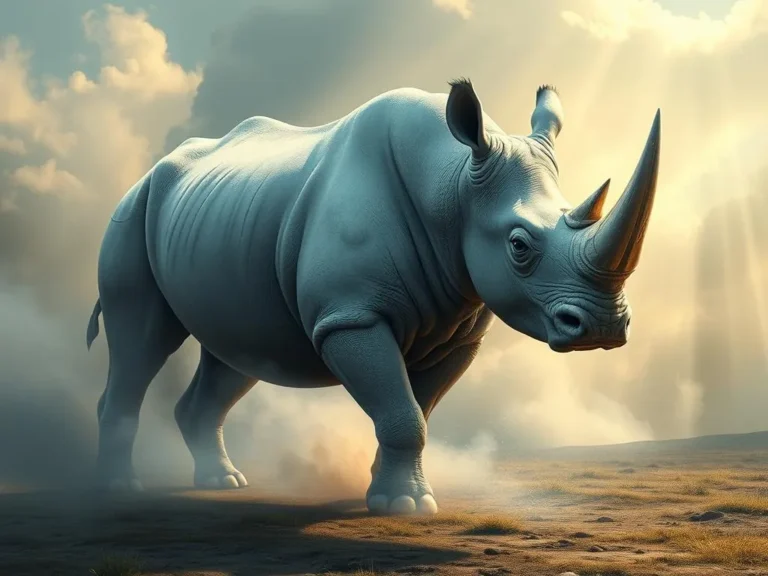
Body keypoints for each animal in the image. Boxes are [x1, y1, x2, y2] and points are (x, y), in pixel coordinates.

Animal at [87, 79, 660, 515]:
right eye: (519, 245)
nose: (604, 327)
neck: (453, 184)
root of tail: (152, 171)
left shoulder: (457, 333)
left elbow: (414, 411)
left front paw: (389, 494)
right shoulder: (350, 315)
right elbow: (403, 413)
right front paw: (407, 506)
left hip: (225, 226)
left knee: (238, 353)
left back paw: (222, 483)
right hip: (135, 207)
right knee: (143, 340)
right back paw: (119, 490)